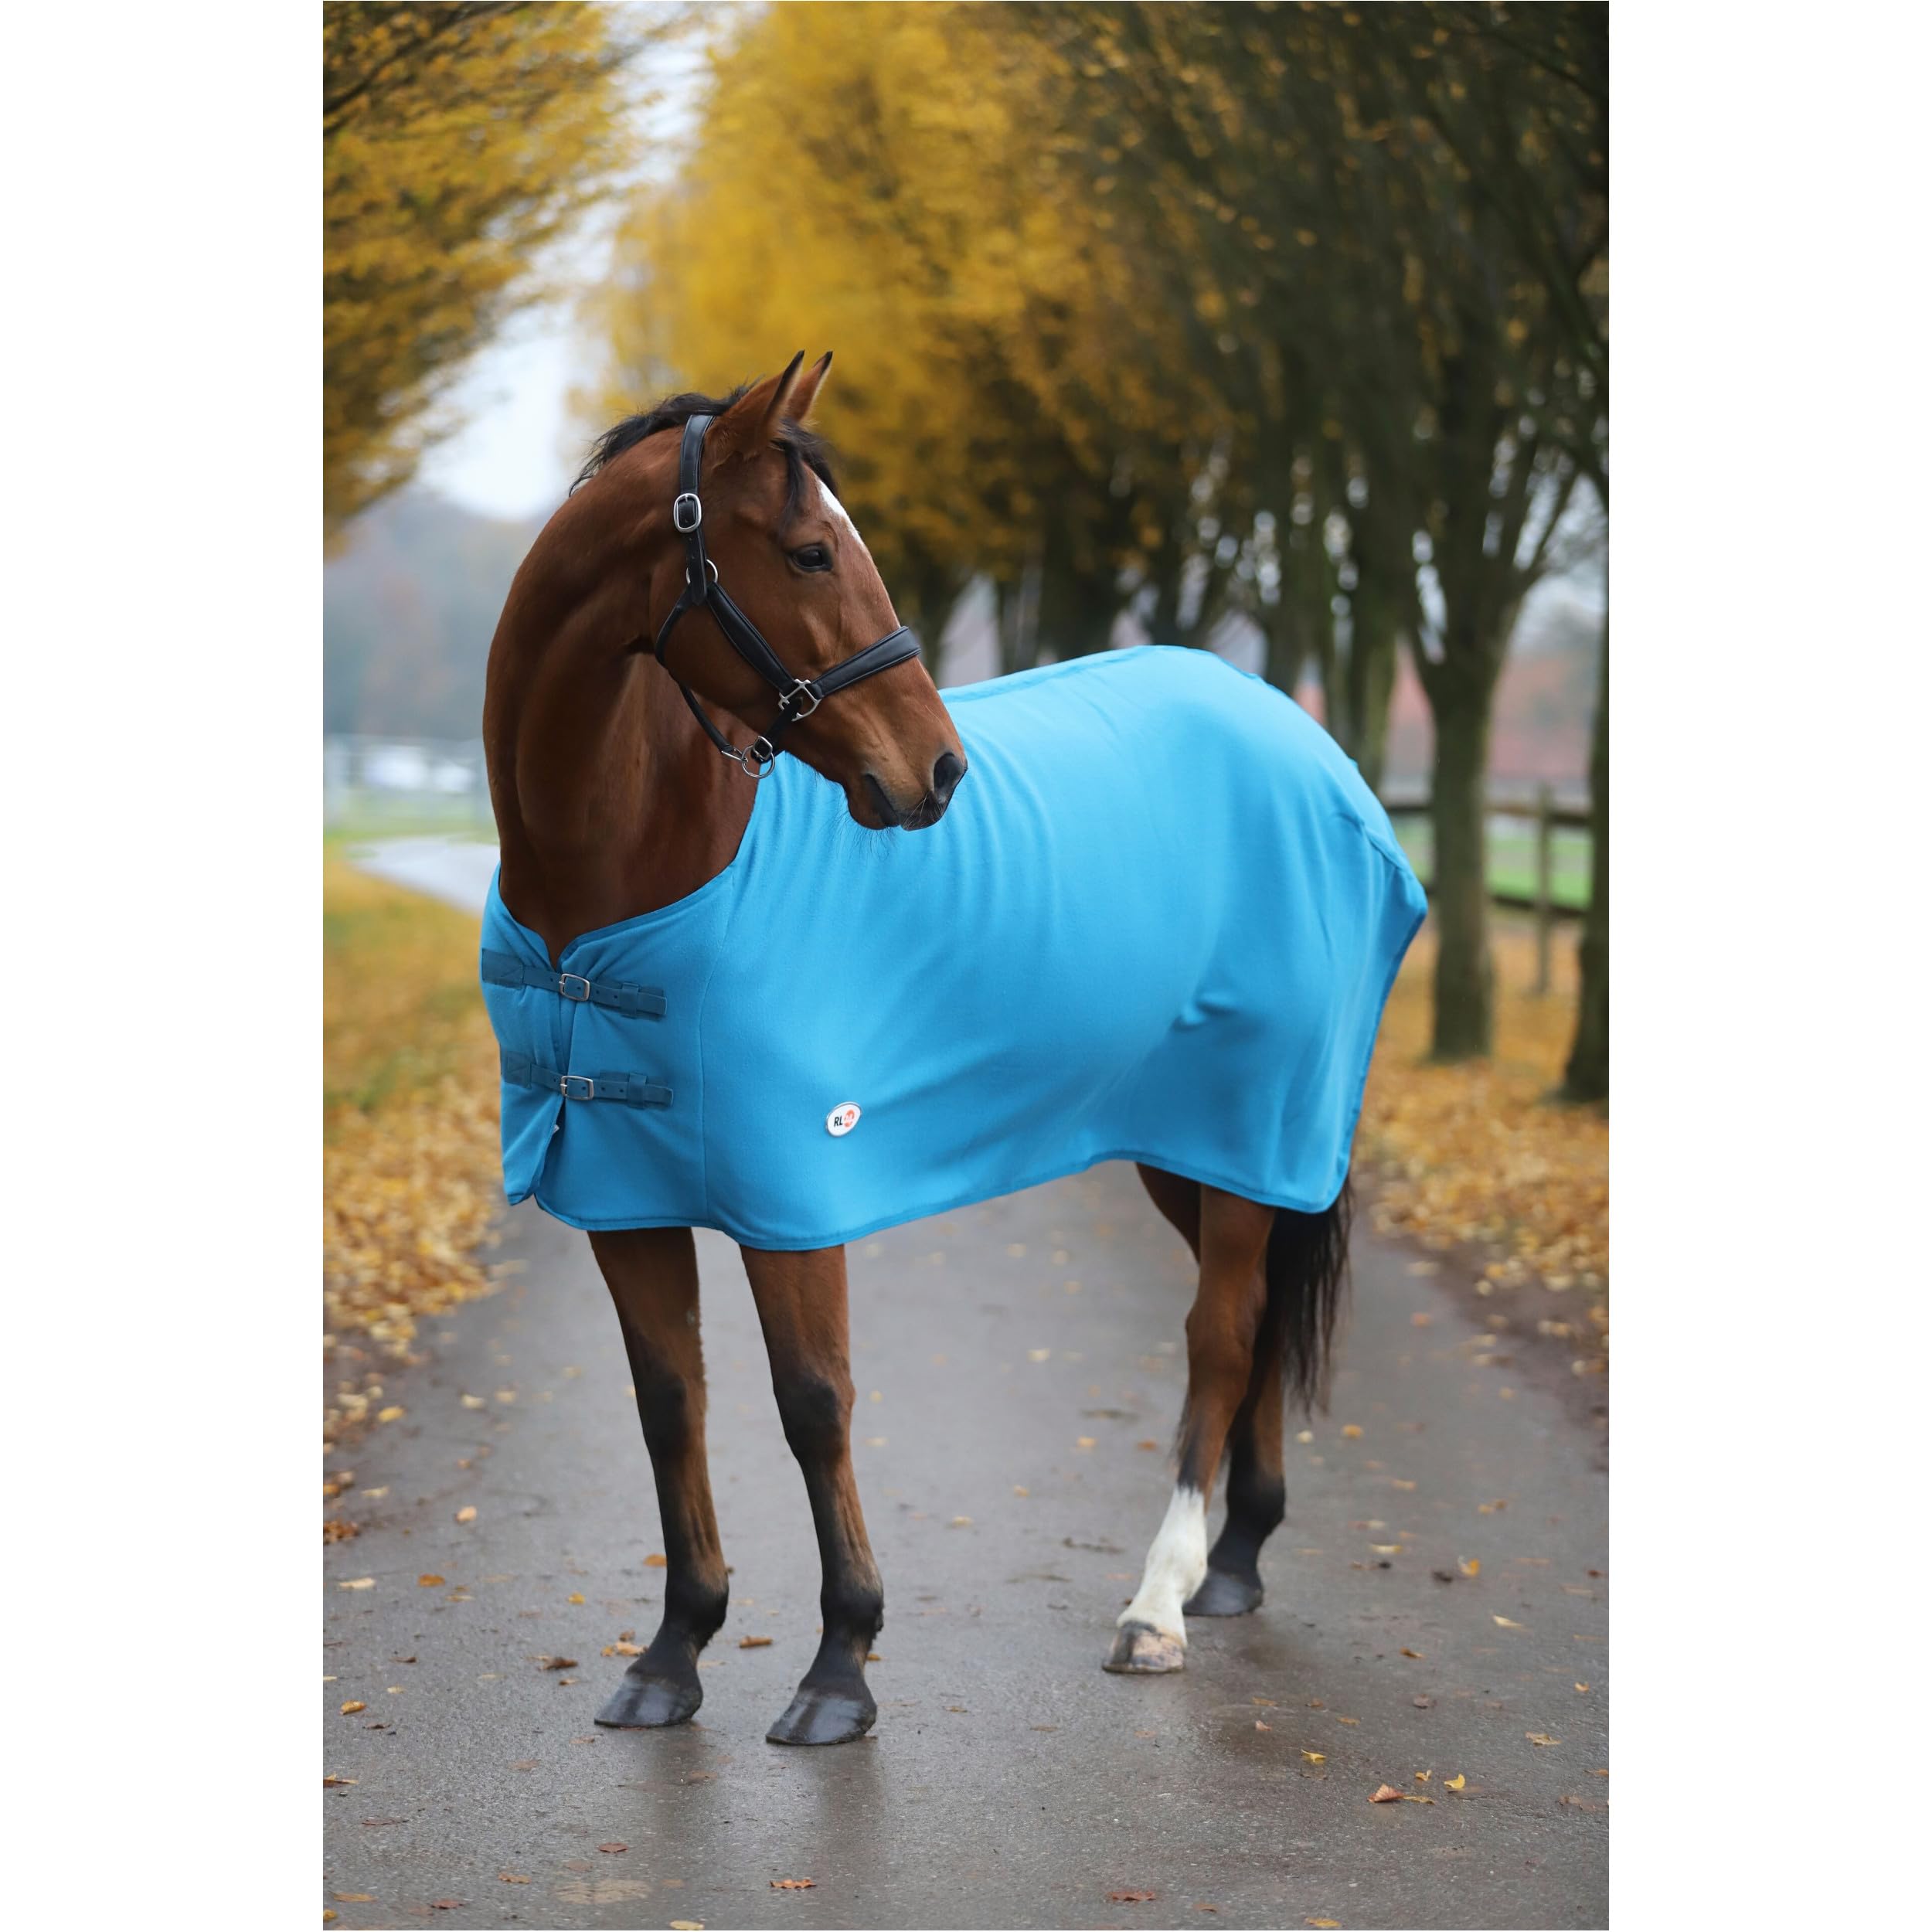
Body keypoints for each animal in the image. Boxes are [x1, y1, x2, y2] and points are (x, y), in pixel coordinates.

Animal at [480, 352, 1425, 1746]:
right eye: (812, 551)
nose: (937, 772)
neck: (640, 858)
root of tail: (1309, 746)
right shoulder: (622, 1191)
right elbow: (670, 1404)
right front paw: (673, 1653)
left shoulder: (795, 1193)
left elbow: (814, 1404)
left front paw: (840, 1667)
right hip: (1188, 1148)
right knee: (1250, 1326)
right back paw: (1235, 1561)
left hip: (1257, 1119)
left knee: (1217, 1334)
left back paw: (1156, 1606)